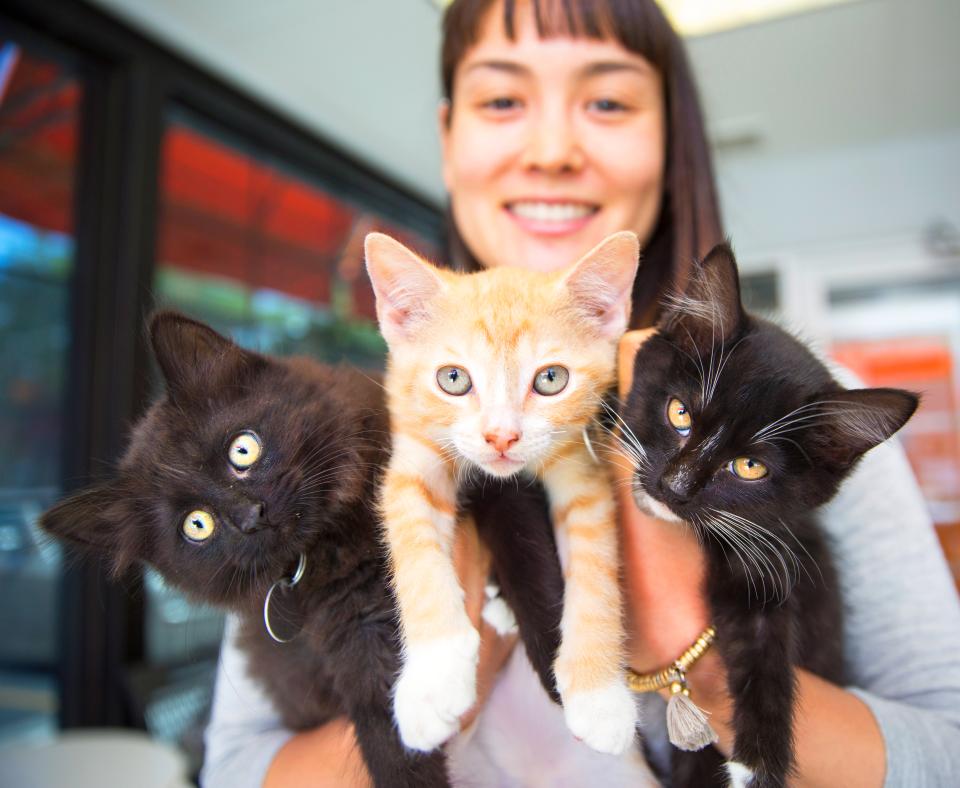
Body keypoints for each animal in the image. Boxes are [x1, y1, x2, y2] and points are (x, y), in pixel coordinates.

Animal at [364, 232, 640, 756]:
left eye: (551, 379)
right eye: (453, 378)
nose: (501, 437)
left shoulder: (581, 466)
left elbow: (596, 571)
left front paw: (599, 694)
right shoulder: (413, 455)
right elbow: (413, 544)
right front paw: (433, 679)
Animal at [620, 245, 920, 788]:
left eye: (750, 467)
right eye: (680, 414)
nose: (674, 486)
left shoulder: (767, 554)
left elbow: (765, 644)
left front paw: (760, 759)